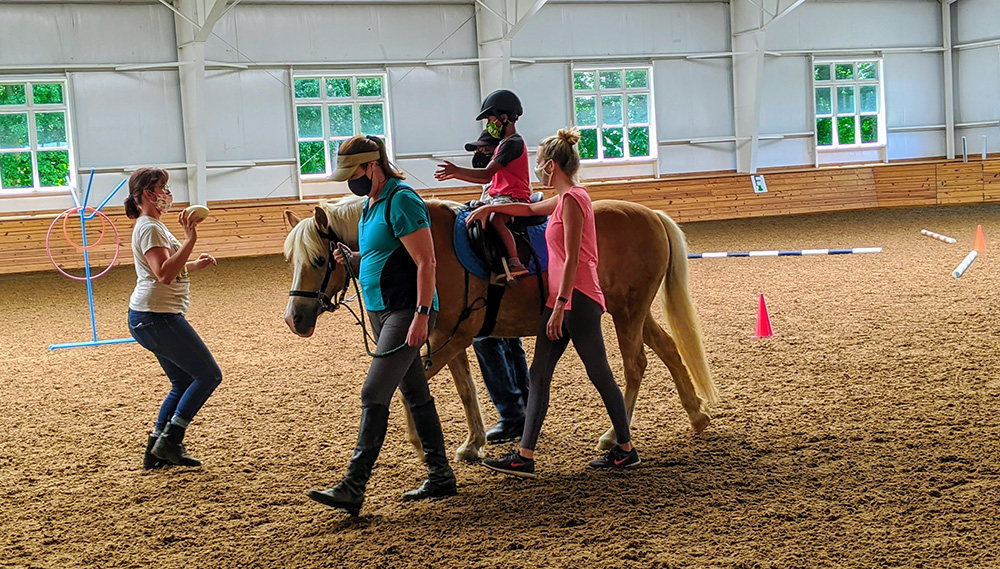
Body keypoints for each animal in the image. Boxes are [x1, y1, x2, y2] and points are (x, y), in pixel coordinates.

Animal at [286, 195, 716, 462]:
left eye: (320, 259)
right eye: (291, 259)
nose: (295, 319)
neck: (421, 251)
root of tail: (651, 215)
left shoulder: (450, 337)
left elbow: (412, 390)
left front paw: (421, 445)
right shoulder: (448, 338)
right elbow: (465, 390)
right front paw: (472, 443)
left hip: (627, 312)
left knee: (635, 364)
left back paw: (616, 434)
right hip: (632, 311)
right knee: (668, 349)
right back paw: (696, 416)